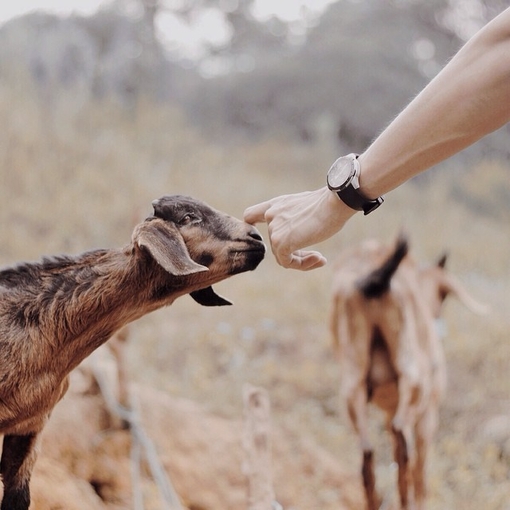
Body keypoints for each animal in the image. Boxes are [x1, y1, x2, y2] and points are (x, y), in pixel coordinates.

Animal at [330, 235, 486, 510]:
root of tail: (374, 282)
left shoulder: (389, 408)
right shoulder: (428, 413)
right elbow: (421, 466)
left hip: (353, 389)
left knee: (368, 455)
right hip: (415, 386)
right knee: (404, 446)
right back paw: (407, 502)